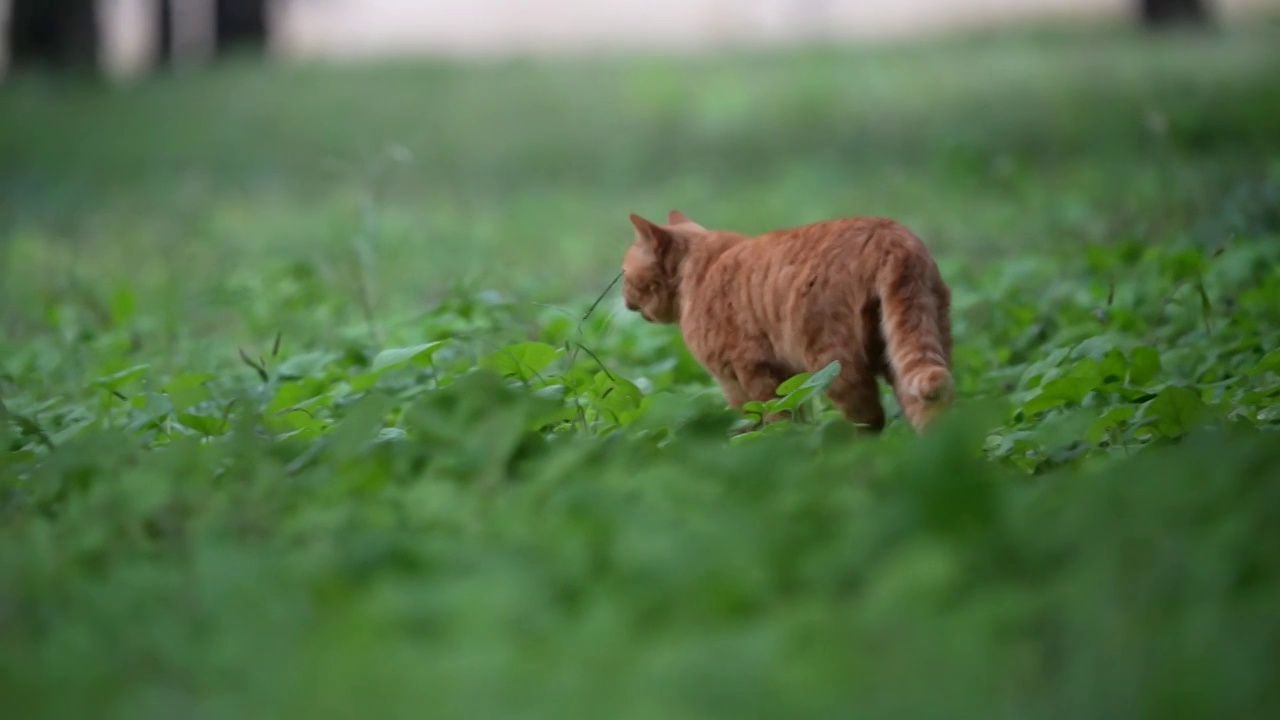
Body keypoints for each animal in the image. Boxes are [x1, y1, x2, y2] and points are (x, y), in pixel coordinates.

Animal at [619, 208, 952, 430]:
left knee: (870, 422)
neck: (700, 269)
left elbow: (768, 420)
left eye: (624, 273)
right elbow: (792, 412)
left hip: (836, 366)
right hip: (915, 348)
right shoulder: (788, 380)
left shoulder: (744, 375)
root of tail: (891, 235)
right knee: (932, 411)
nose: (623, 299)